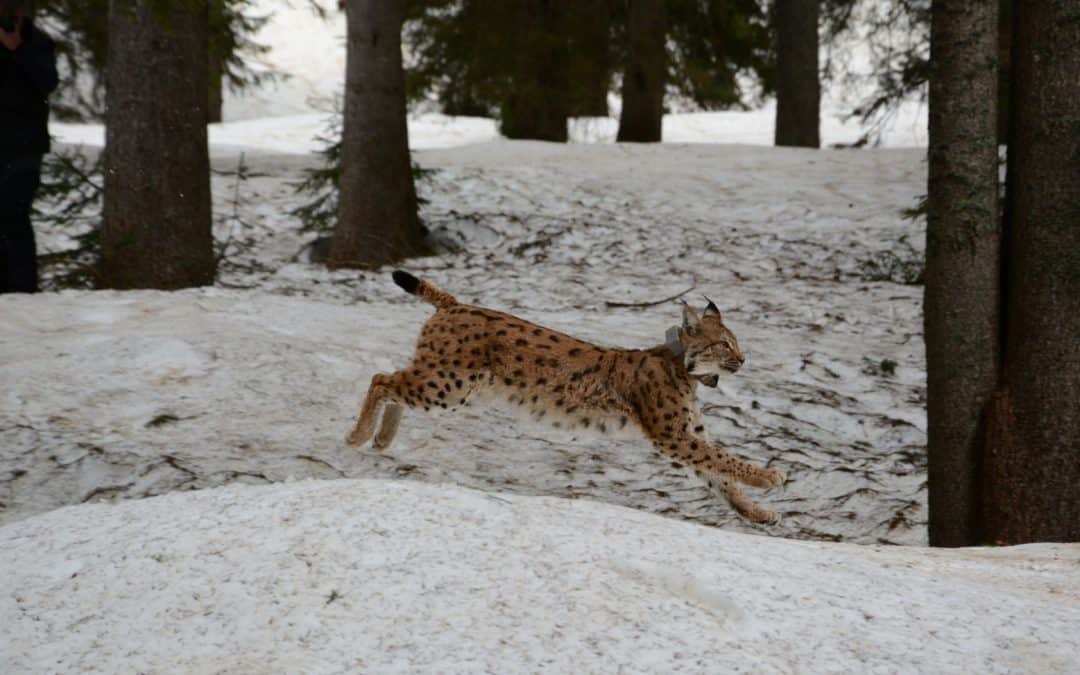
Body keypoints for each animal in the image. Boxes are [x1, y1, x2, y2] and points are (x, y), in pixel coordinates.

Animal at [345, 268, 786, 520]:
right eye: (725, 345)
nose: (743, 359)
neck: (685, 369)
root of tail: (455, 305)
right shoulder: (673, 434)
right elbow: (723, 460)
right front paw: (768, 476)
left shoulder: (687, 435)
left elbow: (719, 476)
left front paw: (756, 513)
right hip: (448, 385)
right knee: (380, 378)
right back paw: (359, 435)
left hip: (450, 387)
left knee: (392, 381)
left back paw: (382, 439)